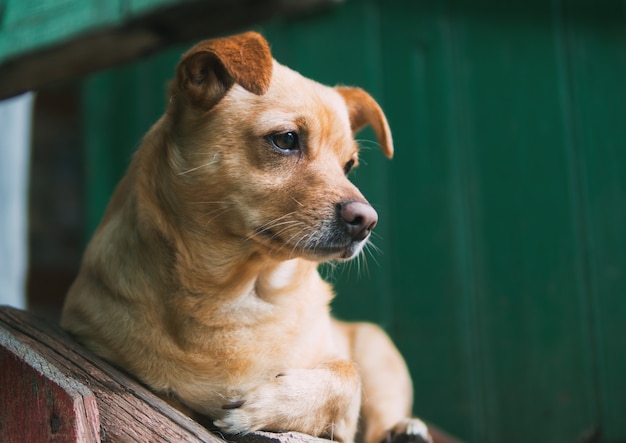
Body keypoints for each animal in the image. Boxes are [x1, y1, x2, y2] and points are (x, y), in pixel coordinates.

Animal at [61, 32, 436, 443]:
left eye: (348, 166)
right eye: (286, 139)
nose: (366, 221)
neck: (241, 296)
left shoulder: (345, 382)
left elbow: (346, 375)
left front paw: (263, 406)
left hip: (376, 347)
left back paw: (404, 429)